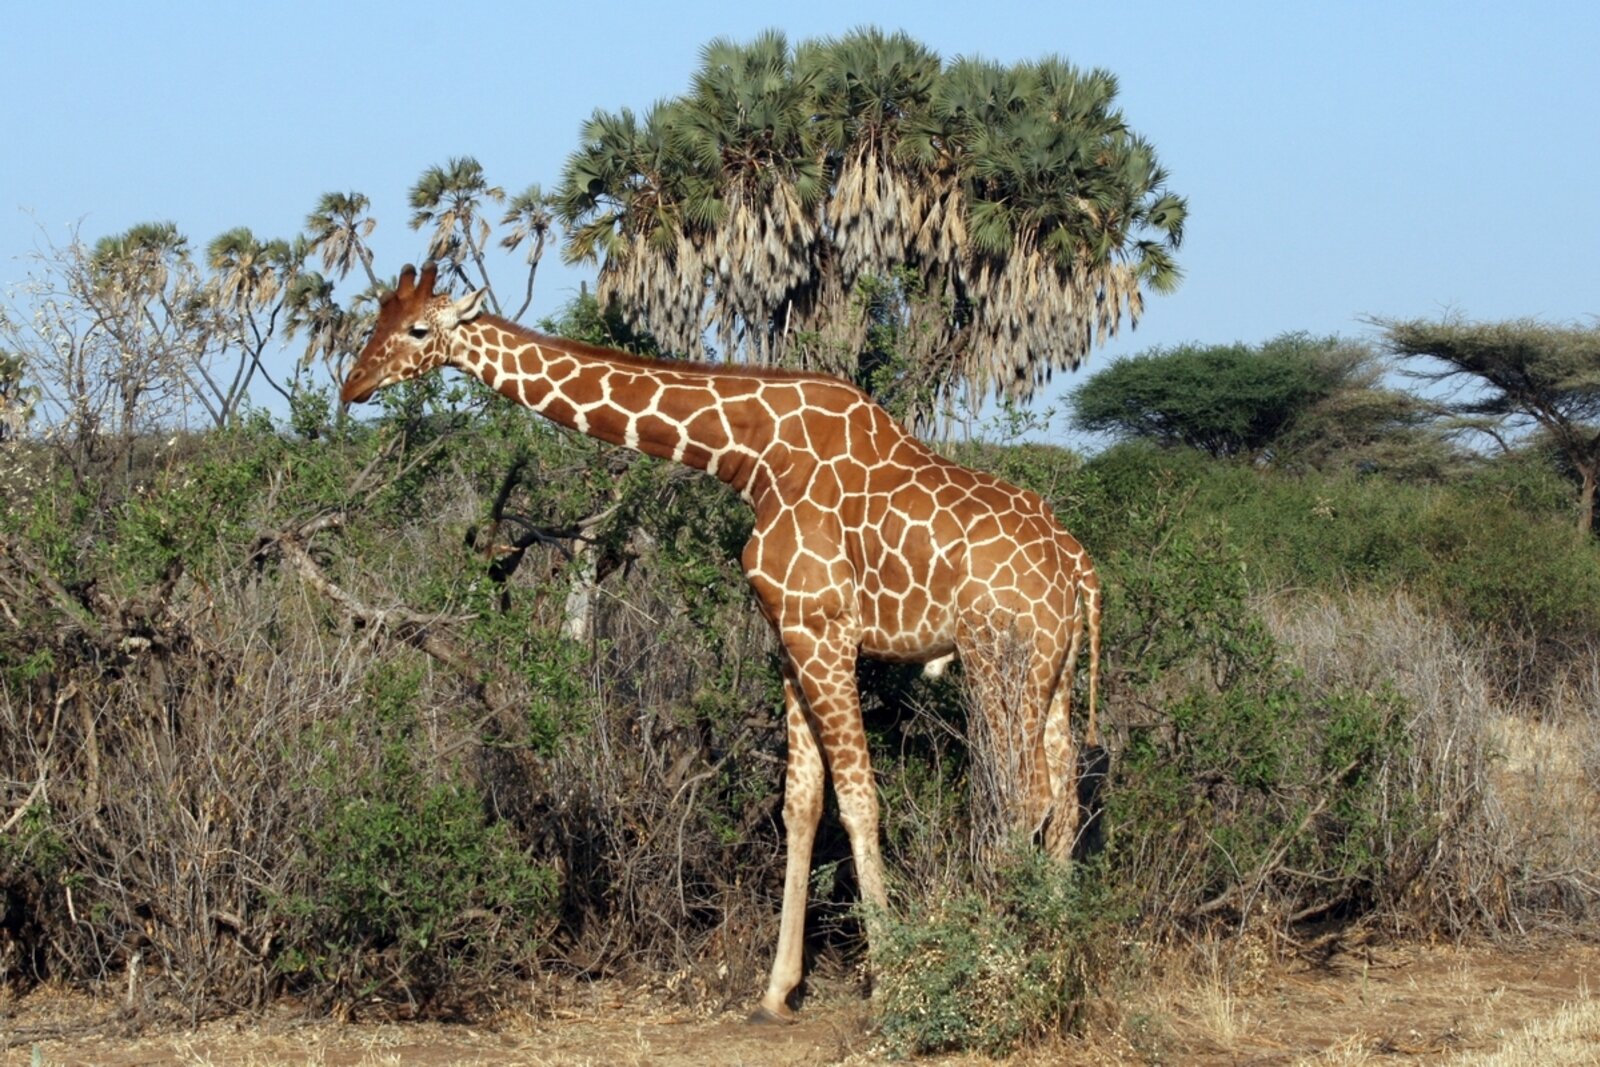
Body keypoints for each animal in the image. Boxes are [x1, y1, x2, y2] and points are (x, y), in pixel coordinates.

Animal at [339, 263, 1102, 1021]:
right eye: (375, 320)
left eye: (417, 329)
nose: (353, 385)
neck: (751, 455)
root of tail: (1079, 566)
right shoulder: (790, 638)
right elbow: (802, 803)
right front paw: (776, 991)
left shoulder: (823, 630)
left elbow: (859, 798)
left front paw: (890, 978)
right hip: (1055, 671)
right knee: (1066, 796)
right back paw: (1056, 960)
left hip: (1002, 662)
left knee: (1028, 796)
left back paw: (1004, 961)